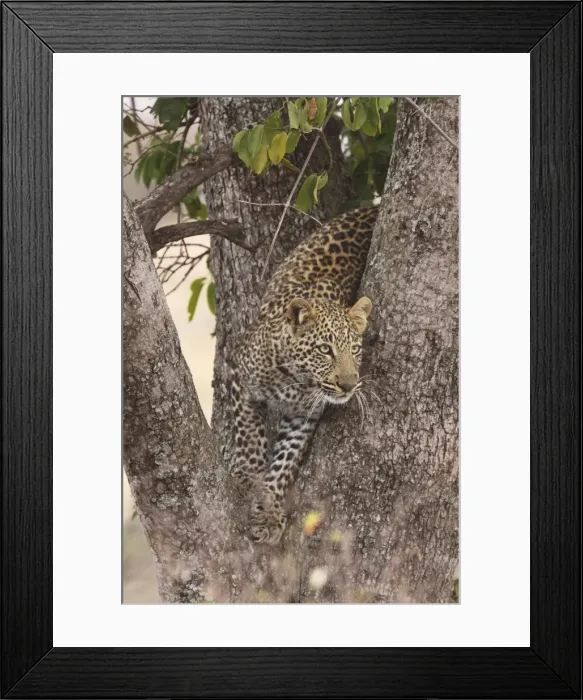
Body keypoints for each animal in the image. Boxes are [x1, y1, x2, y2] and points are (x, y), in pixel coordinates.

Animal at [229, 205, 379, 545]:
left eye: (355, 349)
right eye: (325, 350)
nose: (349, 385)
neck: (295, 379)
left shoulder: (303, 416)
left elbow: (286, 460)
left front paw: (269, 514)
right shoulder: (238, 373)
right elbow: (248, 434)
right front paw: (248, 476)